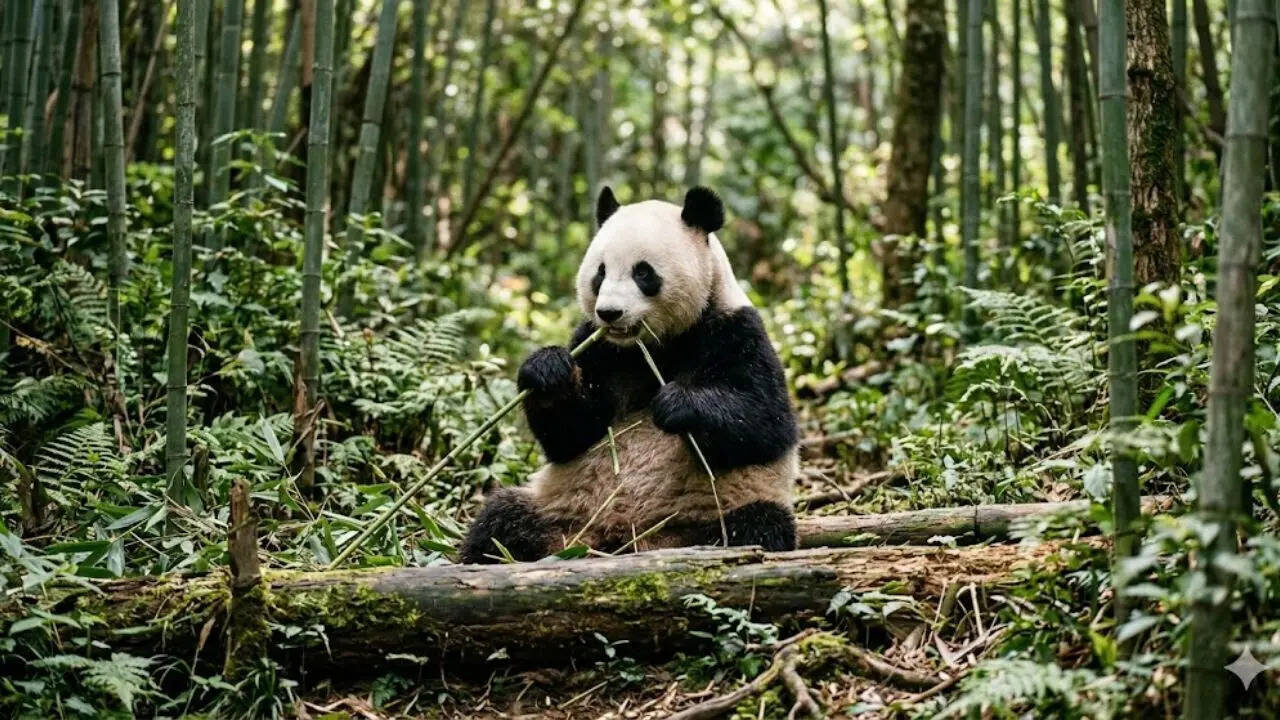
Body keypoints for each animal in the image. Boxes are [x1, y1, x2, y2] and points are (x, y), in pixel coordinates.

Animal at [458, 186, 799, 563]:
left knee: (755, 526)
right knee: (500, 519)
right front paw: (548, 370)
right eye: (600, 273)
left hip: (720, 507)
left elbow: (765, 423)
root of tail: (620, 538)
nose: (609, 313)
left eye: (643, 273)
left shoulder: (735, 330)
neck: (654, 345)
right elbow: (571, 435)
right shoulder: (599, 347)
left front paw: (677, 404)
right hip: (558, 507)